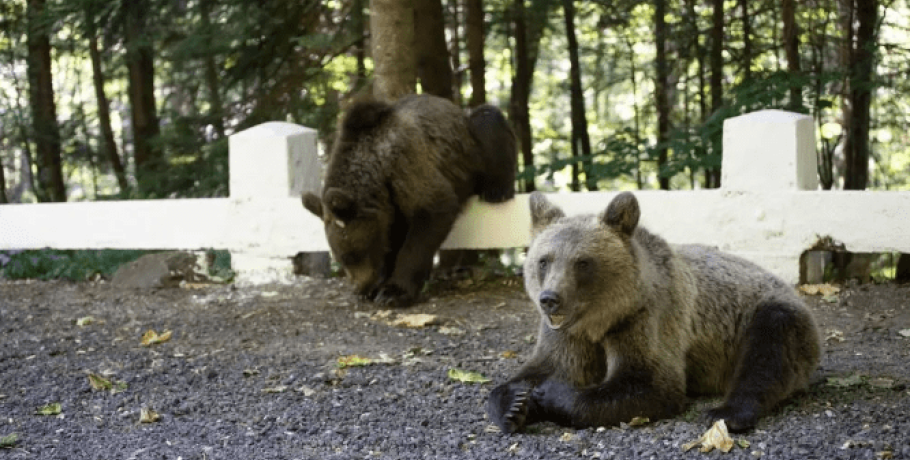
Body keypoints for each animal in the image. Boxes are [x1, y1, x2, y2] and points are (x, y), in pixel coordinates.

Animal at [302, 93, 516, 308]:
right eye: (340, 258)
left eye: (352, 255)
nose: (359, 288)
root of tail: (454, 107)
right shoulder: (390, 207)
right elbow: (392, 240)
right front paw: (380, 285)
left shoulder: (407, 163)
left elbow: (431, 214)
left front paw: (394, 292)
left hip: (470, 146)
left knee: (487, 120)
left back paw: (497, 191)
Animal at [492, 191, 828, 434]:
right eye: (544, 260)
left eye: (582, 262)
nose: (550, 299)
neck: (600, 321)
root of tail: (789, 286)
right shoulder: (566, 335)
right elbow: (541, 368)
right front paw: (514, 404)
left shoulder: (645, 320)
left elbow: (649, 385)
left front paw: (550, 394)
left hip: (764, 314)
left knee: (768, 356)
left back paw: (727, 413)